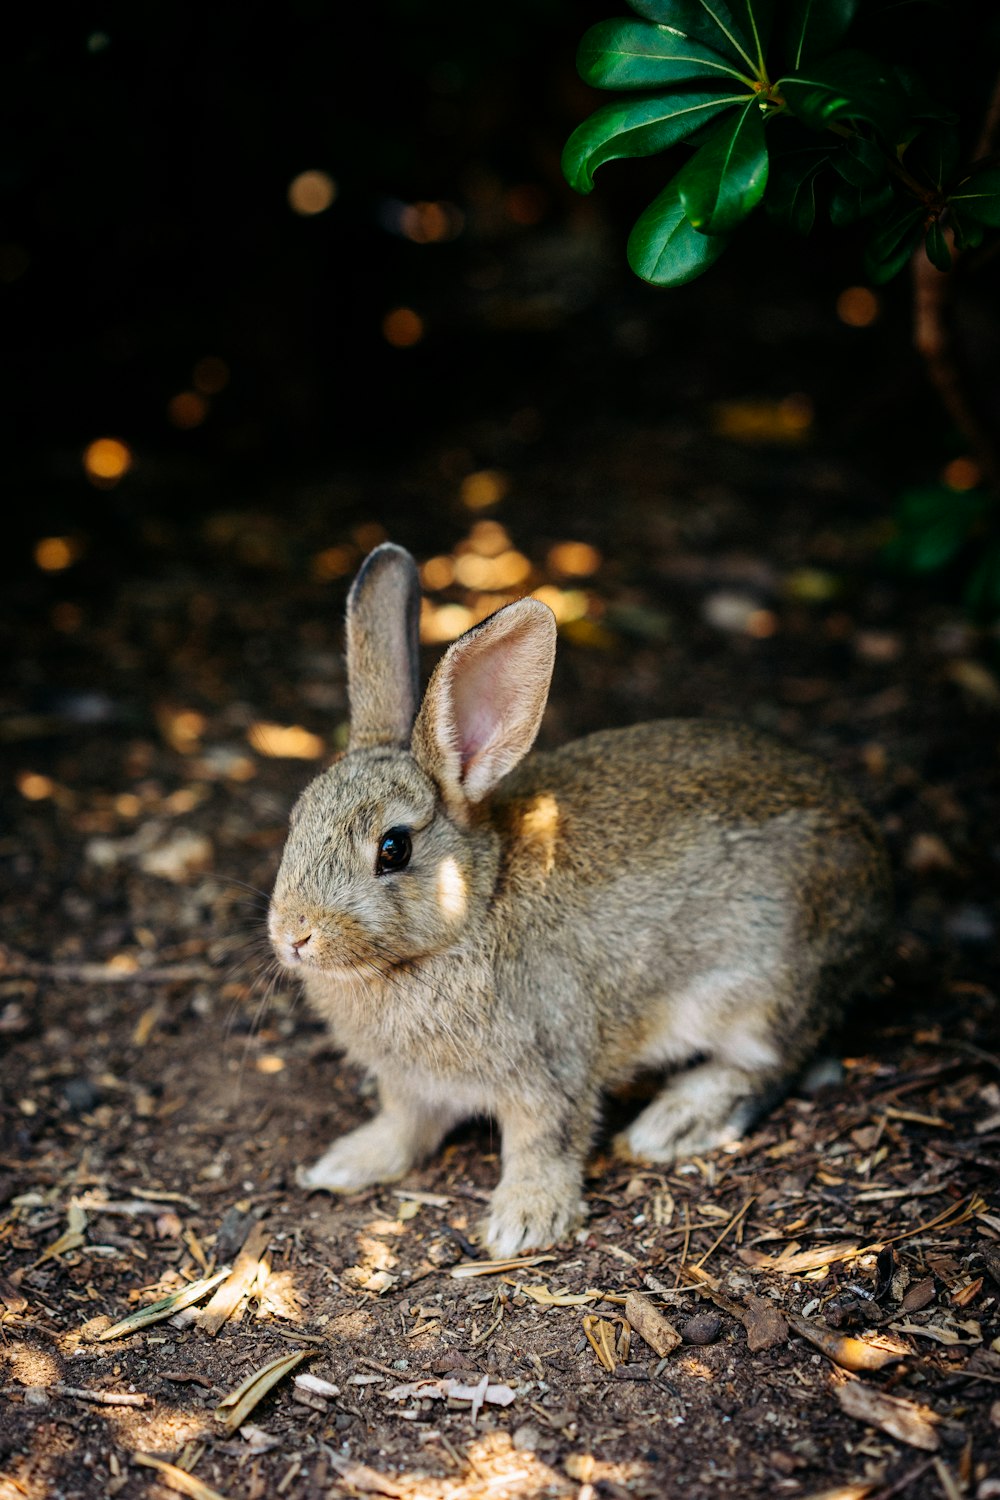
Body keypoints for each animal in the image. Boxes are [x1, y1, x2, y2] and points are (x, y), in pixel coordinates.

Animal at [268, 540, 893, 1254]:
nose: (294, 934)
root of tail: (878, 872)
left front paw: (524, 1222)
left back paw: (673, 1121)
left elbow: (544, 1141)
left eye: (393, 848)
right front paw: (346, 1164)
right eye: (296, 820)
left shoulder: (549, 1067)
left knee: (772, 1062)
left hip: (761, 992)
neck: (473, 907)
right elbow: (403, 1128)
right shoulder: (411, 1088)